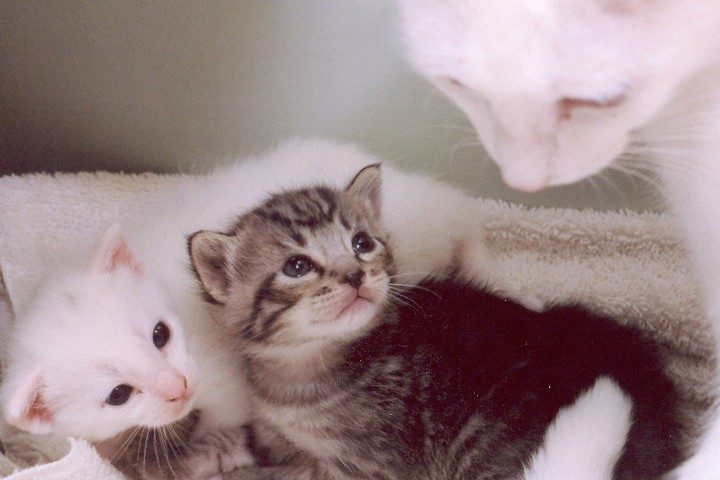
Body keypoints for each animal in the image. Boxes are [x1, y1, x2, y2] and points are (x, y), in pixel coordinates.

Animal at [188, 166, 684, 480]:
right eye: (296, 266)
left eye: (362, 242)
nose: (354, 275)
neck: (300, 368)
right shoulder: (272, 428)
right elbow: (251, 441)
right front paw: (205, 455)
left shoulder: (375, 466)